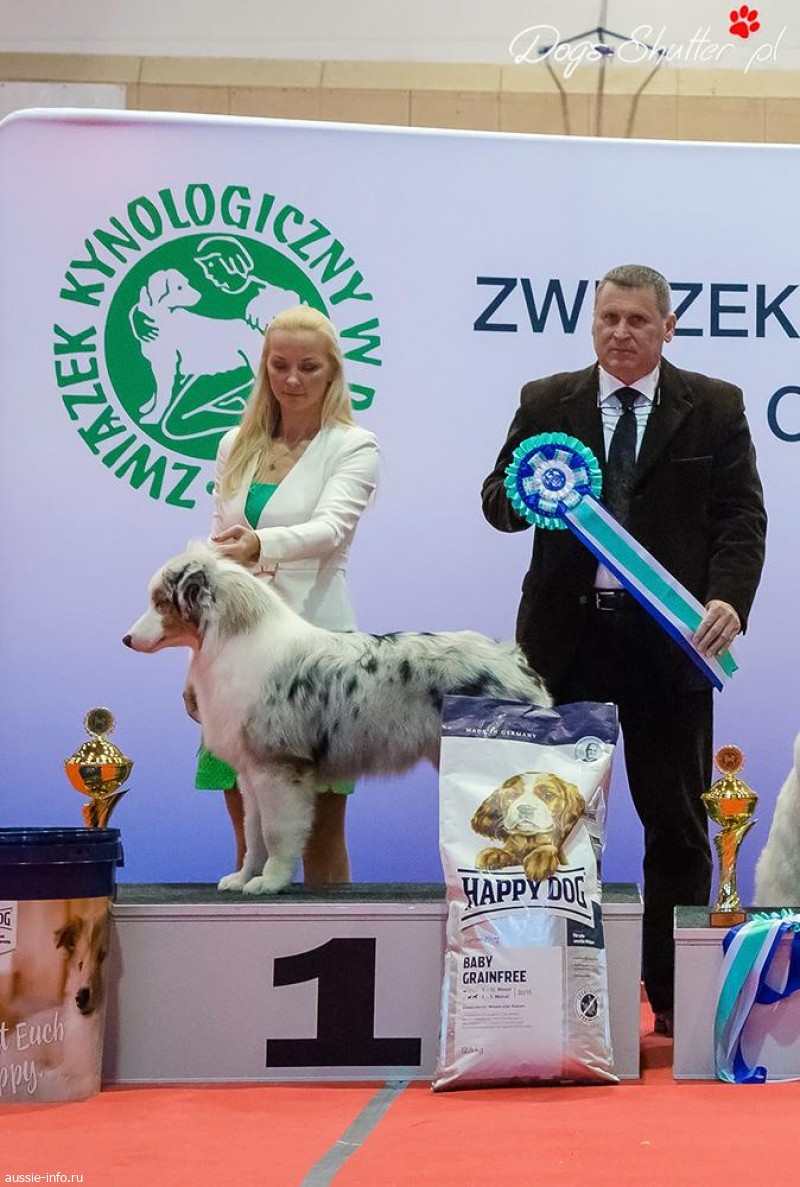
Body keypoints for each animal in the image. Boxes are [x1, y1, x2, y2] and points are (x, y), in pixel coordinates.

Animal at [123, 543, 552, 894]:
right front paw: (244, 877)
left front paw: (270, 882)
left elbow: (275, 833)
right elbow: (252, 833)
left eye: (161, 602)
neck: (236, 641)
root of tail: (513, 660)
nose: (126, 639)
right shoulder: (251, 773)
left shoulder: (280, 768)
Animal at [129, 268, 261, 425]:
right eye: (179, 287)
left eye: (185, 284)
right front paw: (148, 408)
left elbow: (162, 394)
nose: (199, 296)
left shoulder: (167, 365)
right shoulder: (157, 364)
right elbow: (157, 391)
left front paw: (153, 417)